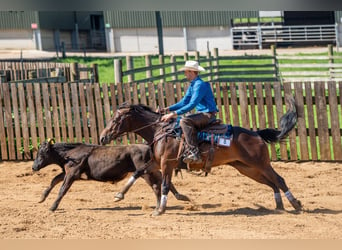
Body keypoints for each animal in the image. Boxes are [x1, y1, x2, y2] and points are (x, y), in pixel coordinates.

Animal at [32, 140, 190, 212]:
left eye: (42, 153)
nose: (34, 167)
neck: (69, 154)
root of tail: (147, 146)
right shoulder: (66, 172)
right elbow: (54, 180)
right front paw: (42, 197)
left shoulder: (72, 173)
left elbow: (62, 189)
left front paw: (53, 206)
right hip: (151, 170)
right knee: (163, 181)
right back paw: (179, 197)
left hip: (145, 172)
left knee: (157, 186)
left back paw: (159, 206)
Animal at [99, 96, 302, 216]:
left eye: (116, 119)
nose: (102, 137)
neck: (160, 130)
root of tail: (257, 134)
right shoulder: (156, 163)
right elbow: (138, 172)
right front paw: (119, 195)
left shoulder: (167, 164)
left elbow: (164, 185)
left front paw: (160, 210)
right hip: (247, 168)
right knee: (272, 183)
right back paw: (279, 206)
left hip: (260, 164)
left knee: (279, 180)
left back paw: (296, 204)